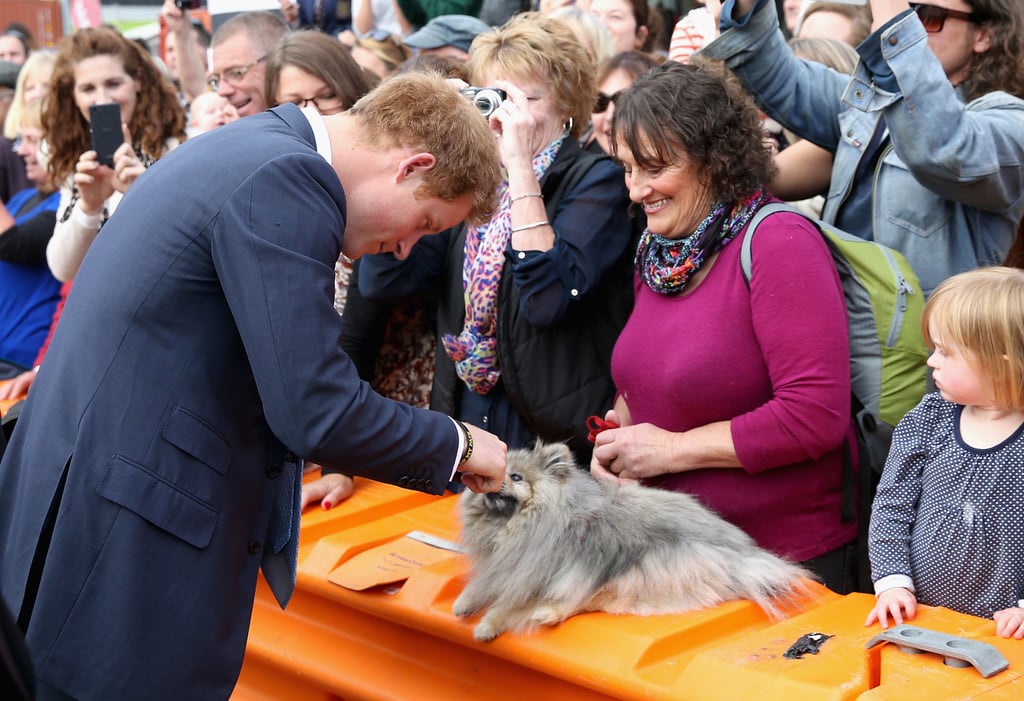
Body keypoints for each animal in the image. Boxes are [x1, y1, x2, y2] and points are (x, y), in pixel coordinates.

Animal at [456, 442, 815, 638]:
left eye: (516, 477)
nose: (493, 483)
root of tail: (739, 556)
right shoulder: (505, 565)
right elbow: (484, 585)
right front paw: (465, 601)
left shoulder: (538, 572)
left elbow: (511, 604)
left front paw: (489, 624)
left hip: (642, 571)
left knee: (589, 599)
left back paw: (550, 612)